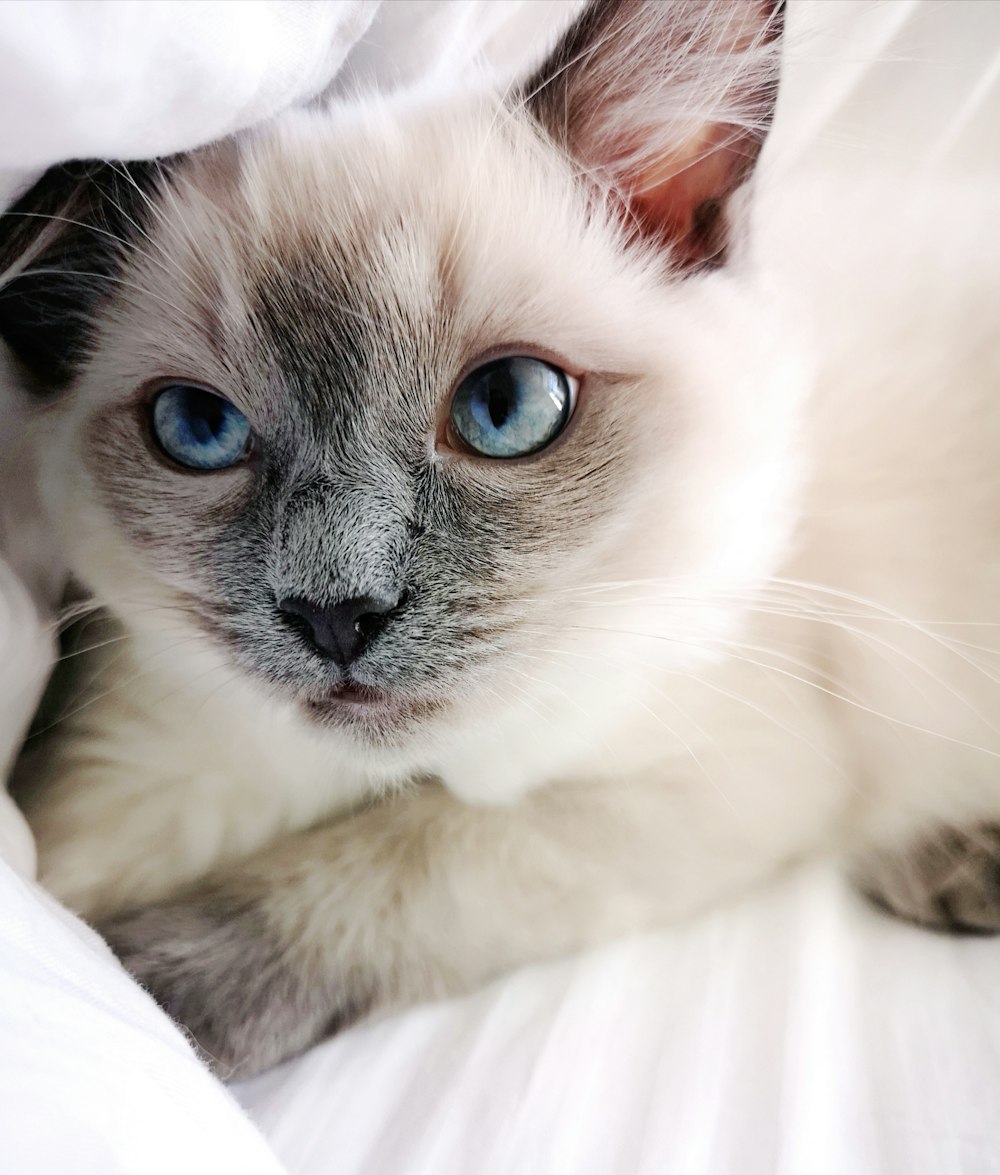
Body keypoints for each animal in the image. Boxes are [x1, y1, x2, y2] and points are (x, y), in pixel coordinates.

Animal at [1, 0, 1000, 1081]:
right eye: (199, 429)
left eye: (505, 408)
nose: (335, 614)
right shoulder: (158, 750)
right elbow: (65, 864)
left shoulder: (716, 771)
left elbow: (408, 852)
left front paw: (157, 995)